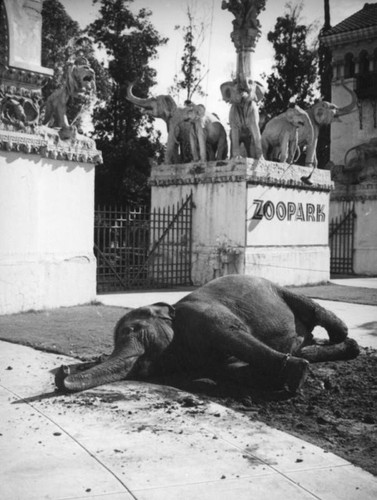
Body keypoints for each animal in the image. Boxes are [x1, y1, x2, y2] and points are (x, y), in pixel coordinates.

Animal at [55, 274, 358, 394]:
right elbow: (230, 368)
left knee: (312, 309)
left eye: (133, 331)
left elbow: (234, 336)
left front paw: (297, 375)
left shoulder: (203, 315)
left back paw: (340, 337)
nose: (62, 371)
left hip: (280, 290)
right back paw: (347, 347)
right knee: (307, 346)